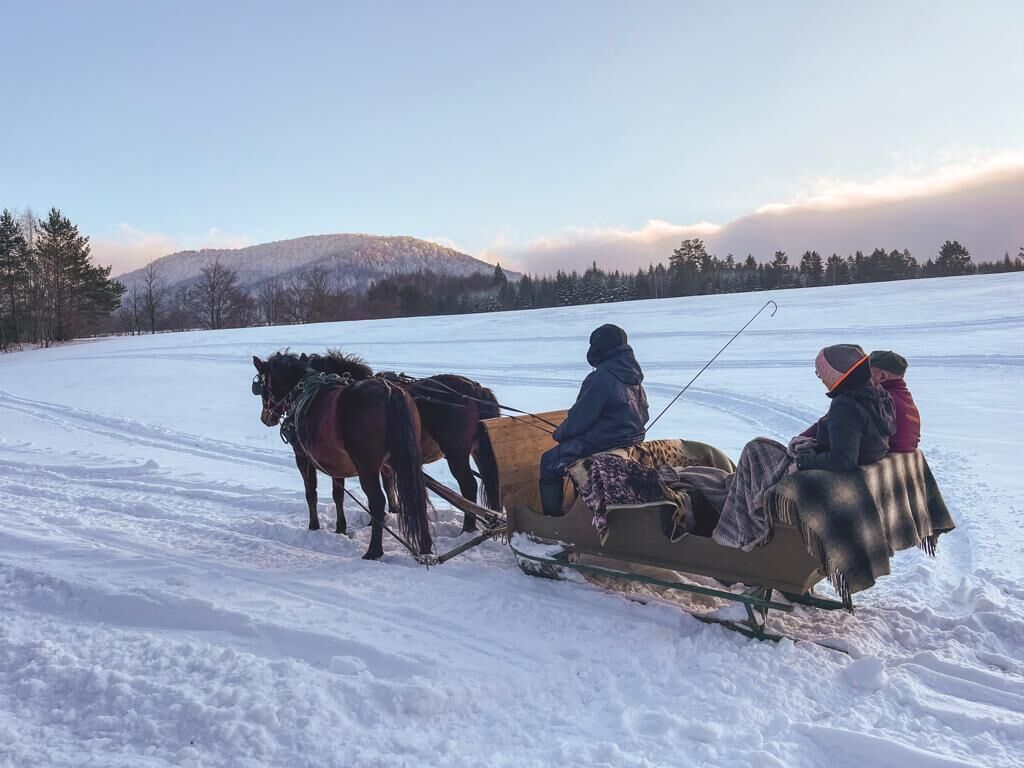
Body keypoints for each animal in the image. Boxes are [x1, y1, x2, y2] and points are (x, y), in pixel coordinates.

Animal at [251, 351, 431, 560]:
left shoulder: (303, 458)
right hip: (404, 460)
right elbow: (338, 495)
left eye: (263, 386)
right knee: (417, 497)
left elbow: (311, 493)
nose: (265, 418)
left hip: (367, 466)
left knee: (377, 502)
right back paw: (425, 547)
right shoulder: (336, 463)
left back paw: (374, 550)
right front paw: (340, 528)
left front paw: (314, 527)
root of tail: (389, 391)